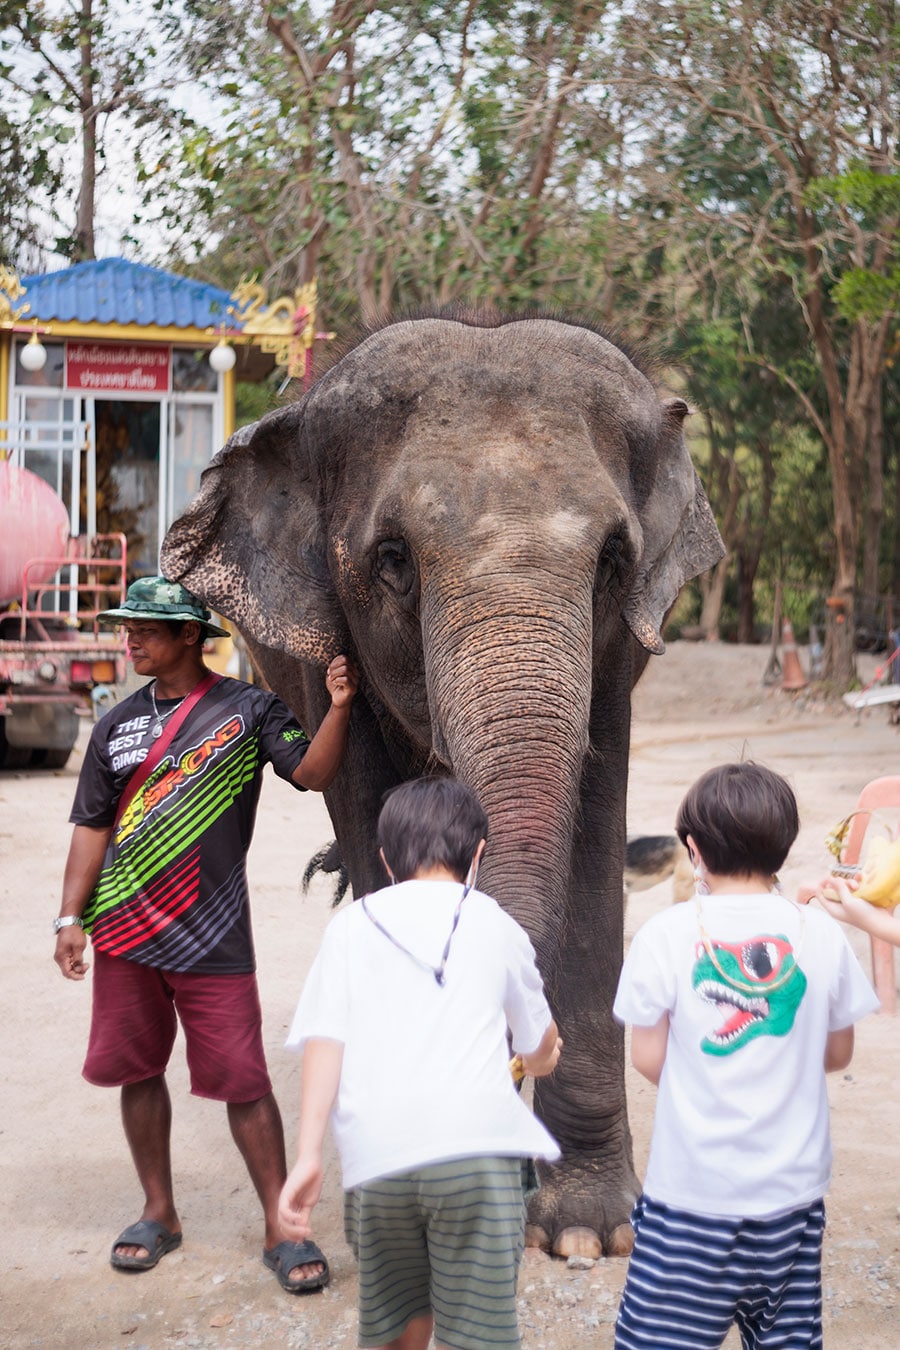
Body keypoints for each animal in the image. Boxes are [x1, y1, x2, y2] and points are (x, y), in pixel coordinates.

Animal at [161, 310, 723, 1258]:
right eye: (393, 558)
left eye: (614, 559)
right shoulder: (329, 661)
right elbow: (364, 817)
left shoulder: (614, 670)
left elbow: (591, 845)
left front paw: (585, 1233)